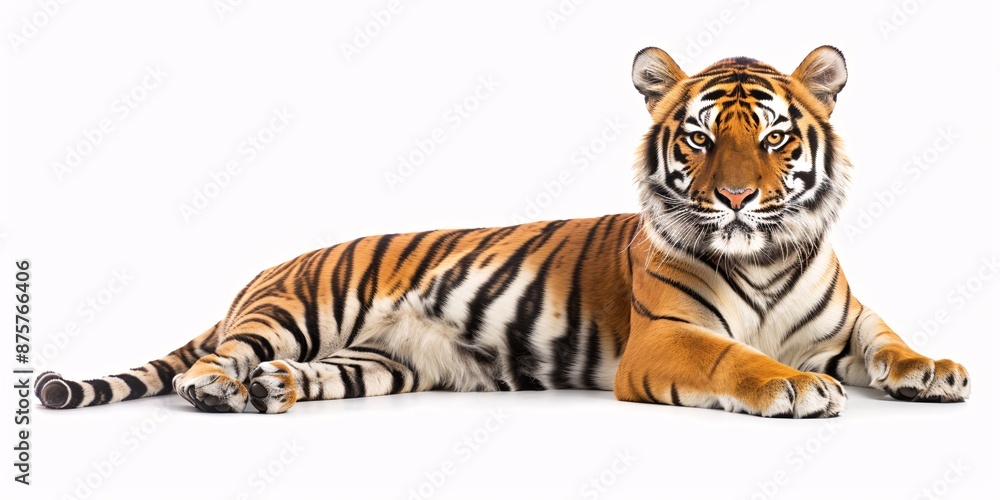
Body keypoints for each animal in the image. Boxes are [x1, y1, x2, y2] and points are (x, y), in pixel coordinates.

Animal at [35, 46, 970, 418]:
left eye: (774, 139)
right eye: (702, 139)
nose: (738, 200)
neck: (768, 257)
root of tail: (262, 270)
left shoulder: (850, 324)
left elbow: (891, 343)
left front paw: (936, 372)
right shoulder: (664, 340)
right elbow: (734, 357)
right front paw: (795, 386)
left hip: (377, 364)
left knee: (298, 373)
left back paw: (272, 392)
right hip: (294, 313)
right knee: (217, 357)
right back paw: (218, 390)